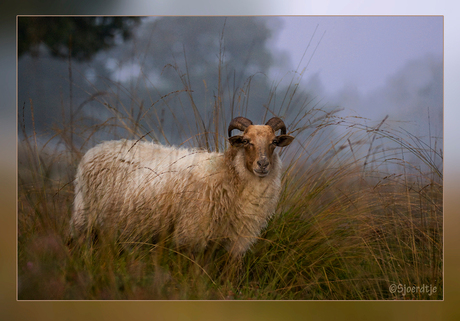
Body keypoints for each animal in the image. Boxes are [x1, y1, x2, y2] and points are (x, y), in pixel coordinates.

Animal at [70, 116, 294, 256]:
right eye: (246, 141)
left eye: (274, 142)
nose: (263, 164)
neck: (225, 172)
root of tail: (96, 149)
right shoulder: (191, 233)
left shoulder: (235, 239)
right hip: (84, 217)